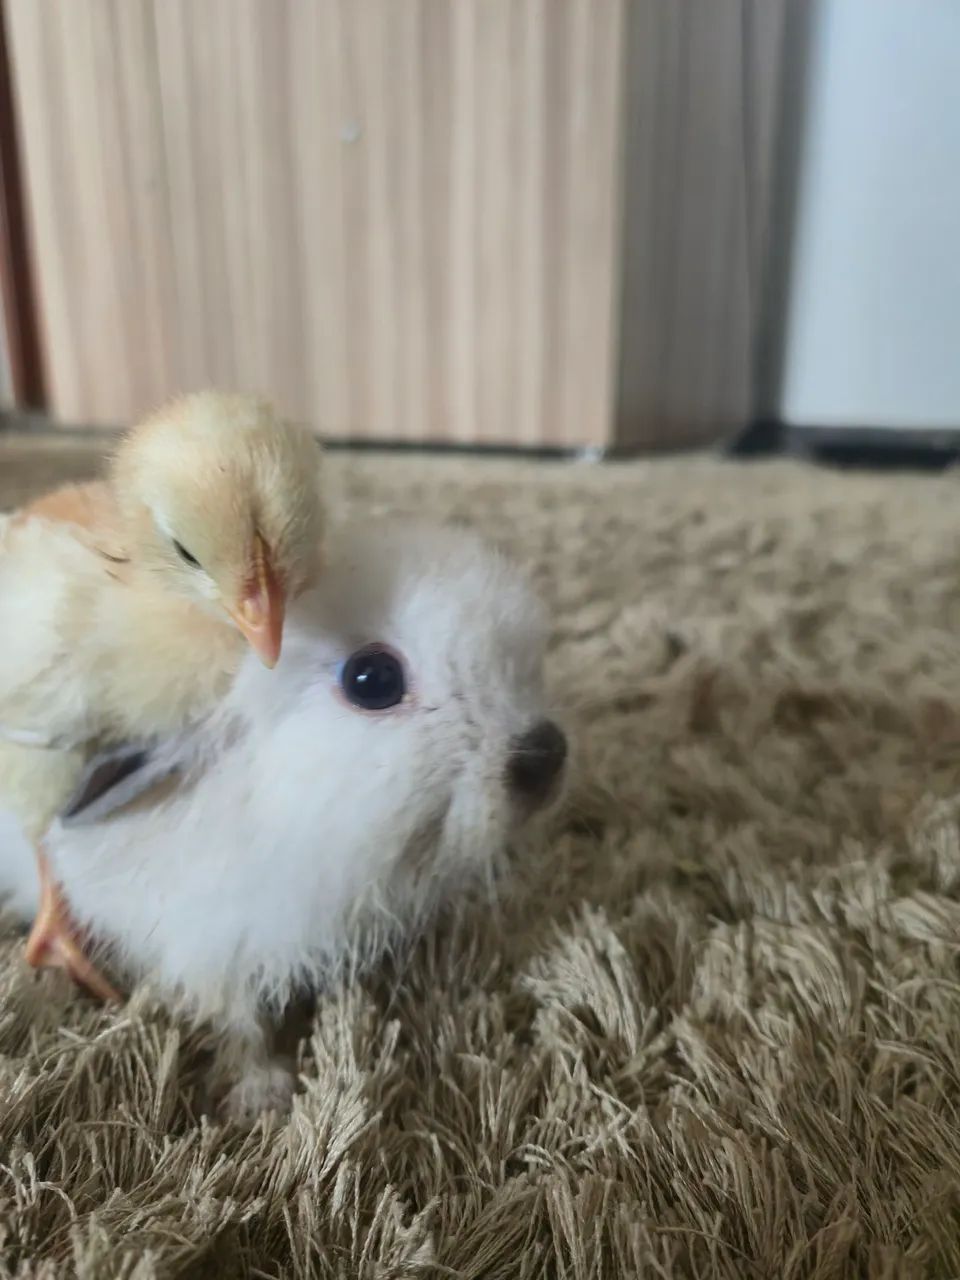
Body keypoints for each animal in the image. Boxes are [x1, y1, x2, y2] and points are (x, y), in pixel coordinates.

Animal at [0, 518, 567, 1120]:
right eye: (373, 680)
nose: (547, 756)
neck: (268, 802)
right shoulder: (207, 943)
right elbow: (234, 1019)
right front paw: (262, 1096)